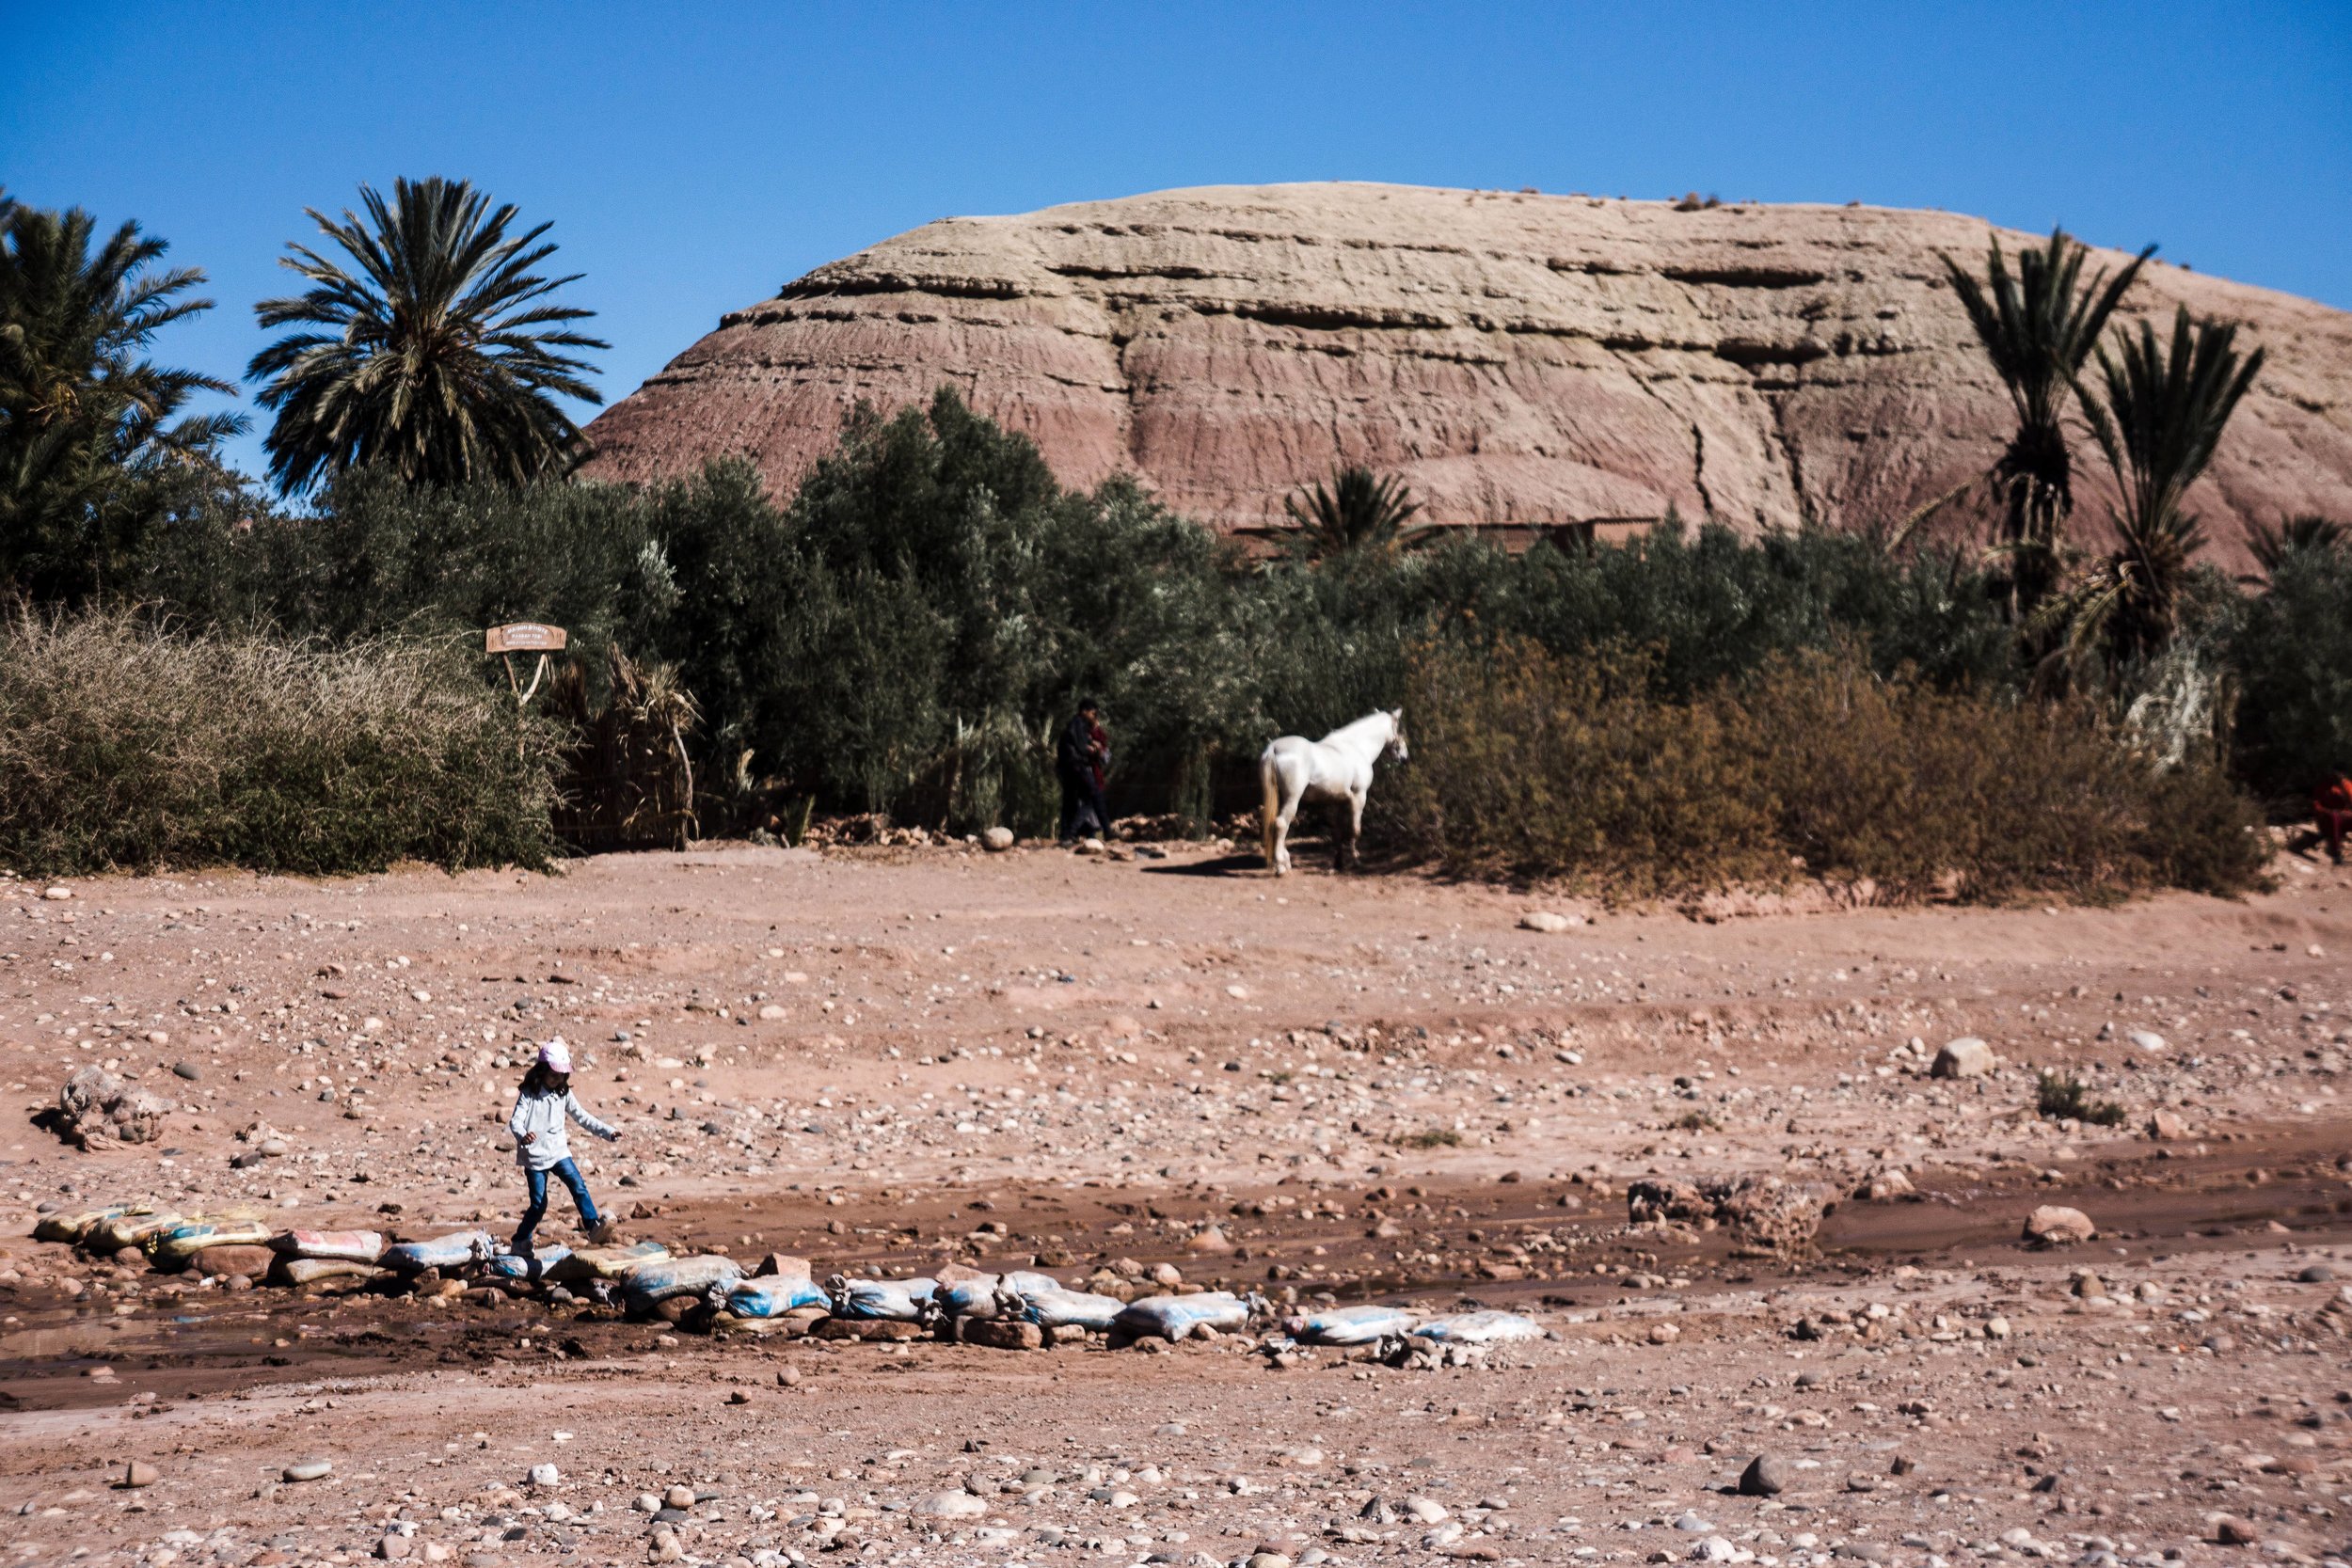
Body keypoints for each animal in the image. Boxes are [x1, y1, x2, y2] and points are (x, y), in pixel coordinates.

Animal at [1261, 714, 1402, 879]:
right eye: (1398, 728)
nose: (1404, 757)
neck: (1356, 747)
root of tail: (1274, 748)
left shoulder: (1339, 801)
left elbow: (1338, 832)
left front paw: (1338, 863)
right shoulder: (1359, 797)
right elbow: (1355, 829)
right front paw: (1356, 860)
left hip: (1281, 798)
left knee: (1275, 824)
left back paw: (1286, 862)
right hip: (1292, 799)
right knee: (1281, 824)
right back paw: (1280, 867)